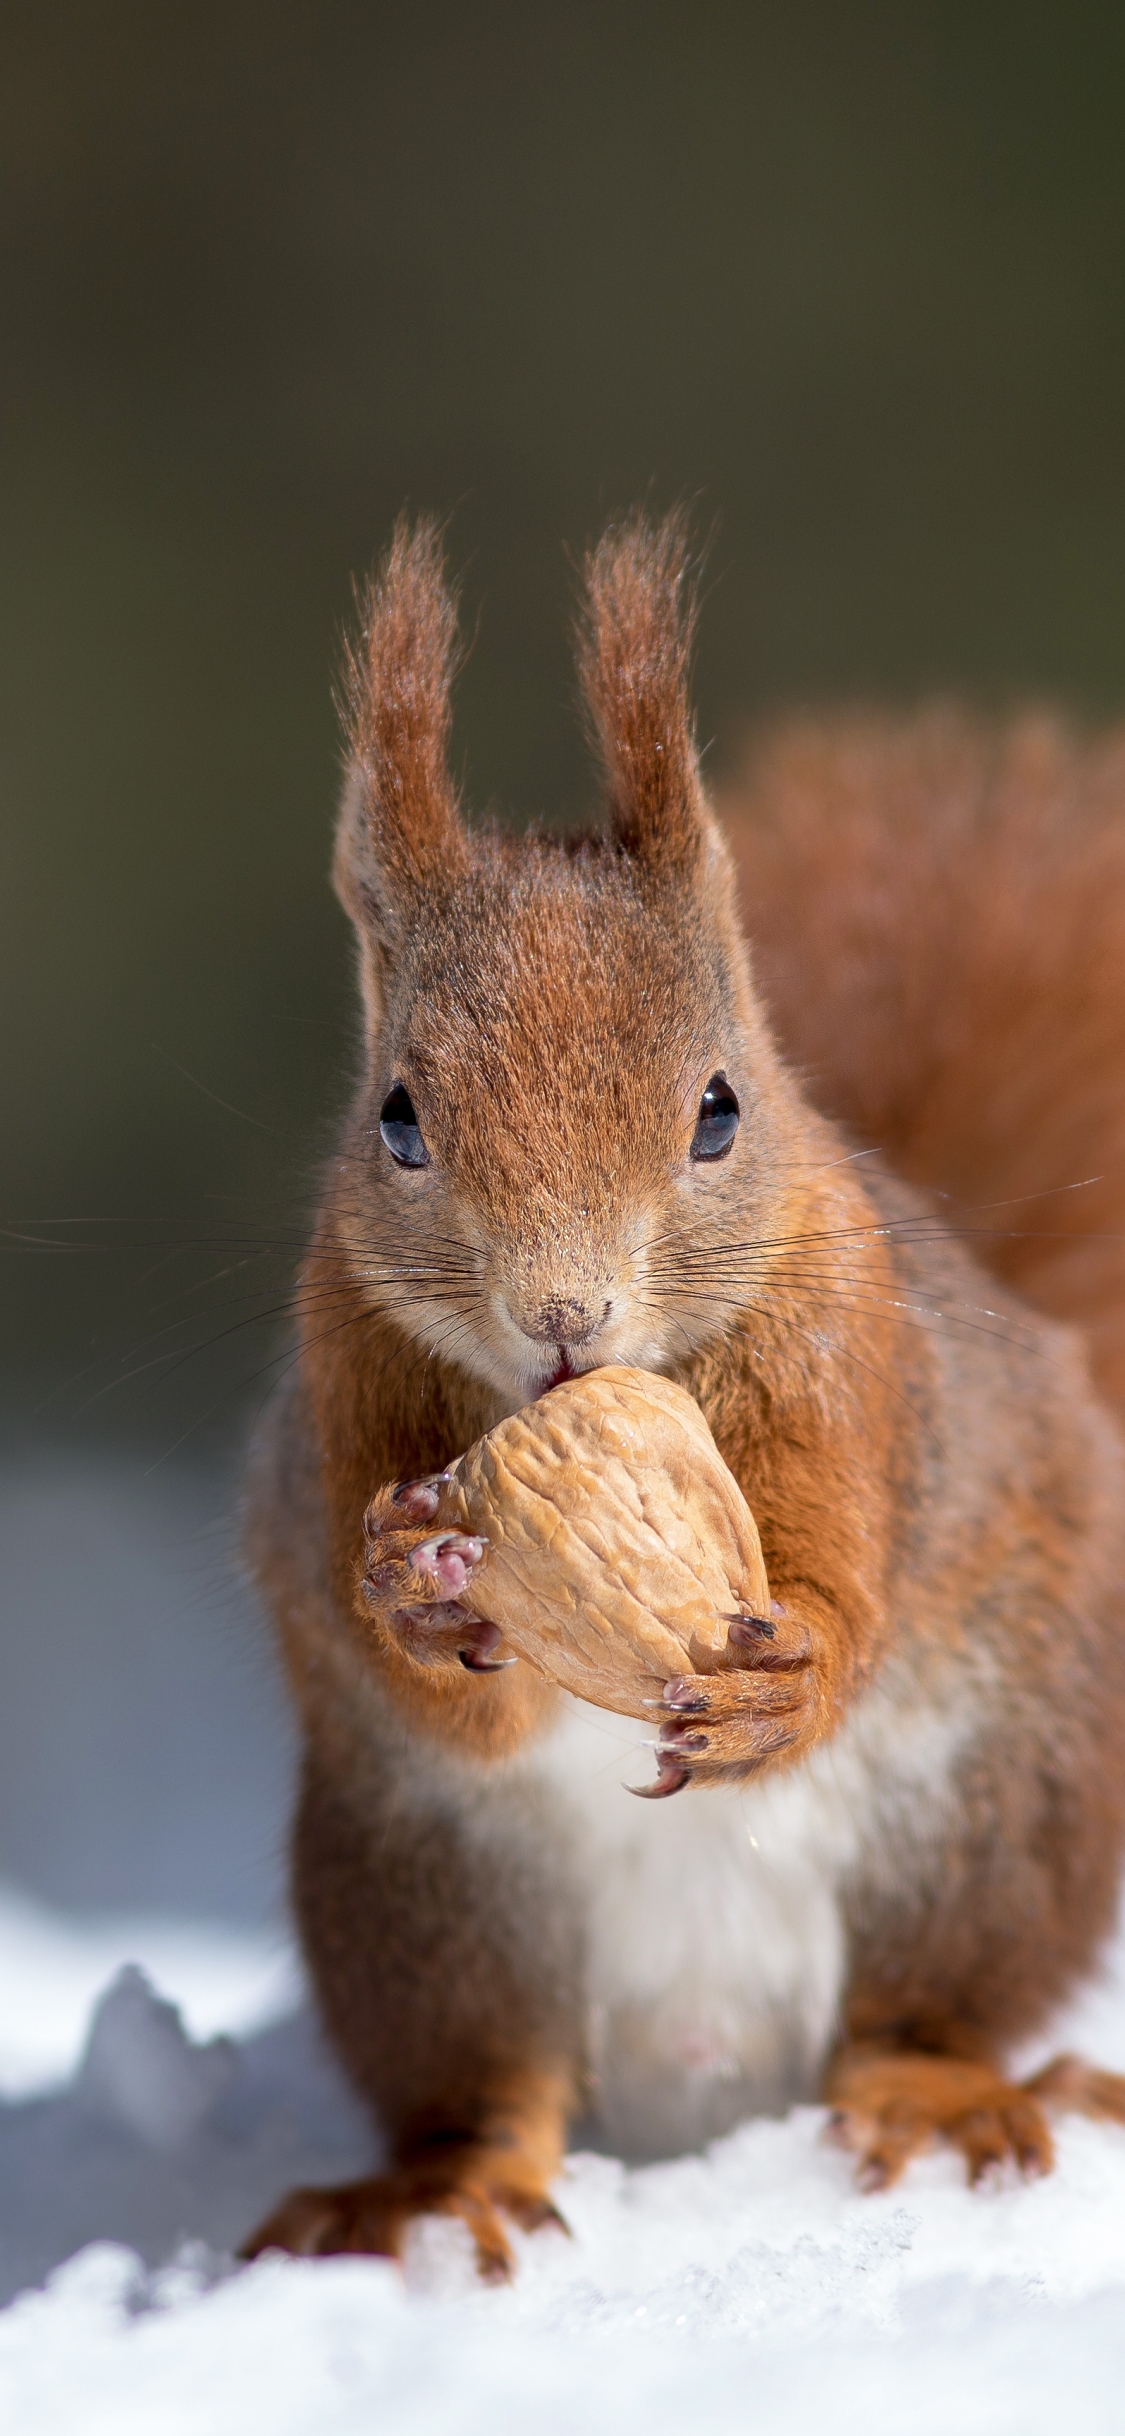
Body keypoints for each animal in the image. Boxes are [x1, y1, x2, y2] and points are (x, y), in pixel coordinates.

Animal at [242, 504, 1125, 2270]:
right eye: (397, 1118)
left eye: (718, 1109)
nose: (561, 1317)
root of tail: (706, 2061)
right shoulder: (344, 1384)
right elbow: (439, 1691)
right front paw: (416, 1581)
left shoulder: (849, 1366)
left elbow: (843, 1573)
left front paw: (790, 1674)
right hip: (428, 1909)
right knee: (493, 2090)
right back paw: (437, 2193)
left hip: (989, 1817)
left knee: (918, 2016)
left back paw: (945, 2101)